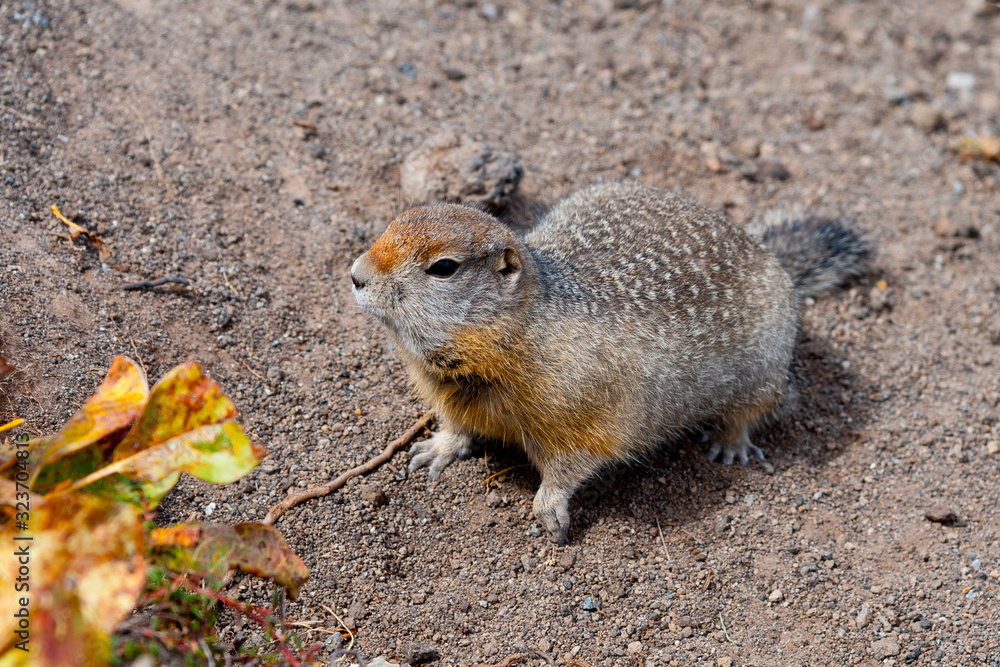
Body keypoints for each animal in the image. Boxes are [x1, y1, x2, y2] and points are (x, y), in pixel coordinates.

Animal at [351, 181, 870, 543]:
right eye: (391, 225)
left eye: (443, 267)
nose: (355, 275)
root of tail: (766, 250)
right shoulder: (448, 391)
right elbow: (457, 425)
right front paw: (436, 449)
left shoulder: (583, 407)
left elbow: (570, 463)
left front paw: (548, 507)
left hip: (766, 374)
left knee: (756, 411)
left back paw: (730, 443)